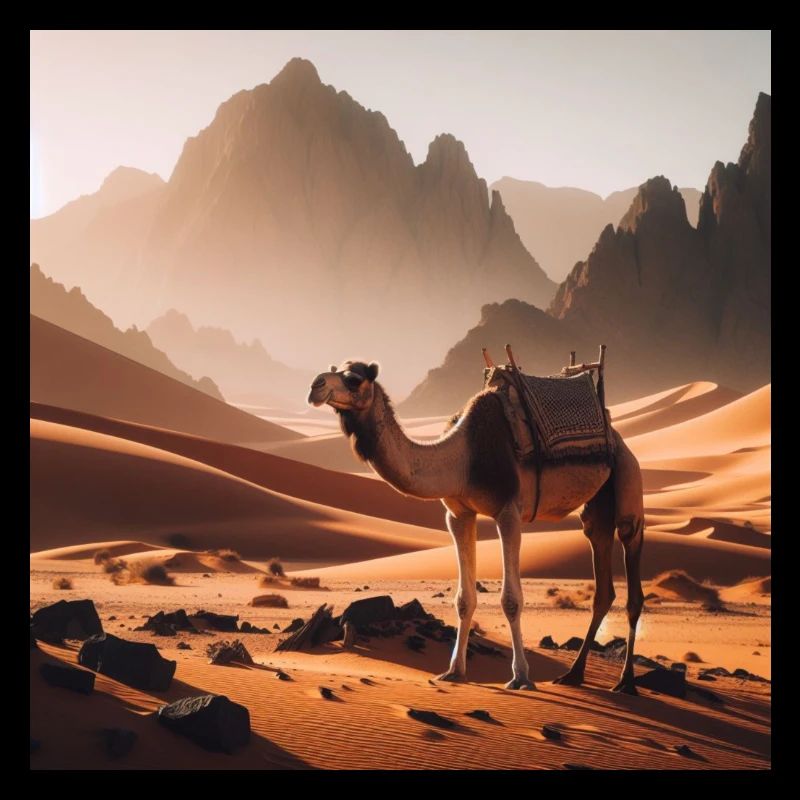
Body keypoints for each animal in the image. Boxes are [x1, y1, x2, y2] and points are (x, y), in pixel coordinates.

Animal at [307, 359, 644, 693]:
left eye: (353, 379)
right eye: (333, 368)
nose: (315, 386)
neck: (462, 459)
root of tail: (617, 435)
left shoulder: (508, 512)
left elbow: (511, 600)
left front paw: (521, 677)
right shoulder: (458, 515)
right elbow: (463, 599)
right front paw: (454, 671)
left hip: (628, 474)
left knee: (631, 560)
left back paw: (625, 682)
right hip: (598, 505)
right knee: (600, 565)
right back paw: (573, 675)